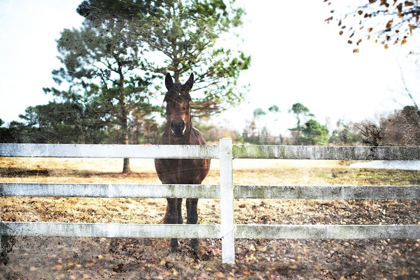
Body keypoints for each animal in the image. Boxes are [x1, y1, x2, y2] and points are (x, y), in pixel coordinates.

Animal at [155, 72, 212, 252]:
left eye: (189, 98)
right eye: (166, 99)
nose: (178, 126)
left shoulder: (195, 182)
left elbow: (192, 215)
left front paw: (195, 245)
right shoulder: (168, 182)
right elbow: (173, 214)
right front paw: (174, 246)